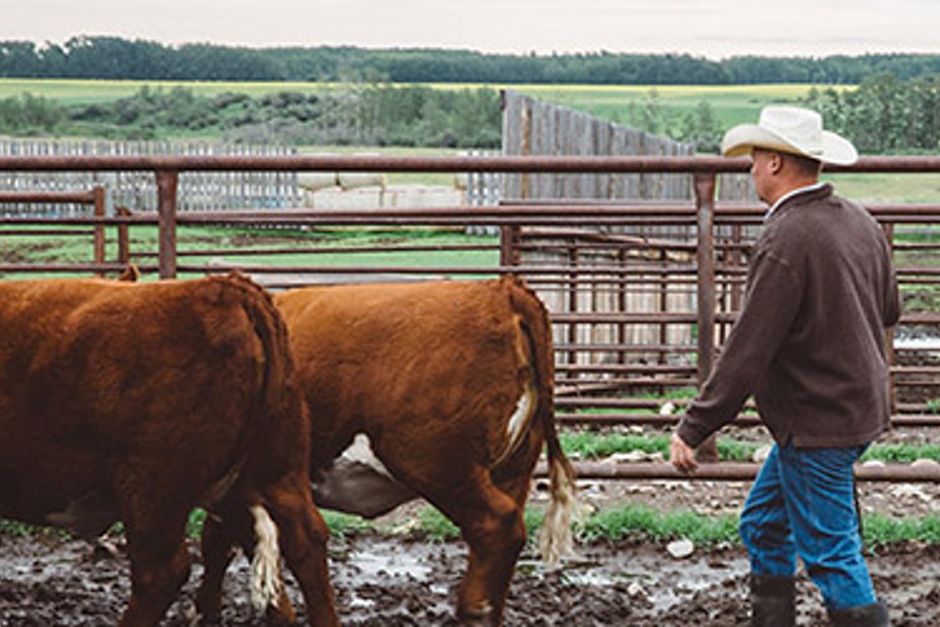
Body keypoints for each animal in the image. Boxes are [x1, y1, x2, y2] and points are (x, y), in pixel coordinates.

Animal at [199, 278, 576, 627]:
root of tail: (504, 289)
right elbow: (216, 545)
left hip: (438, 466)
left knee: (497, 525)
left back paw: (473, 610)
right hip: (512, 469)